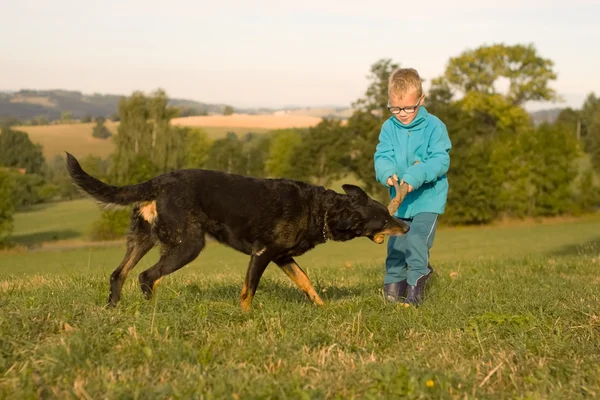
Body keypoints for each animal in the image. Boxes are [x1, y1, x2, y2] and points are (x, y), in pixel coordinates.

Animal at [67, 152, 412, 310]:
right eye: (383, 220)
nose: (407, 225)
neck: (320, 209)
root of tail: (156, 182)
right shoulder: (262, 254)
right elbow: (248, 290)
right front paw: (246, 316)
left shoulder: (283, 258)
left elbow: (307, 282)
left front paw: (323, 309)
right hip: (187, 245)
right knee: (146, 276)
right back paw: (153, 310)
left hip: (143, 239)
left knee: (119, 274)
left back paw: (113, 310)